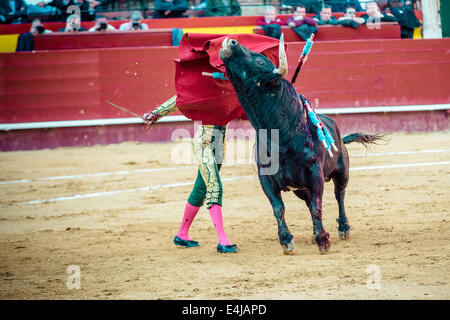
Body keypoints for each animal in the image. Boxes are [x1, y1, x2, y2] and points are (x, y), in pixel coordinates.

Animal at [220, 36, 382, 254]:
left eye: (261, 61)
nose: (232, 42)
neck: (282, 137)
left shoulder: (315, 174)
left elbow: (317, 206)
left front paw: (323, 240)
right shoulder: (266, 178)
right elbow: (278, 208)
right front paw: (286, 240)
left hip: (342, 172)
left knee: (339, 195)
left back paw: (343, 228)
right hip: (300, 188)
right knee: (310, 201)